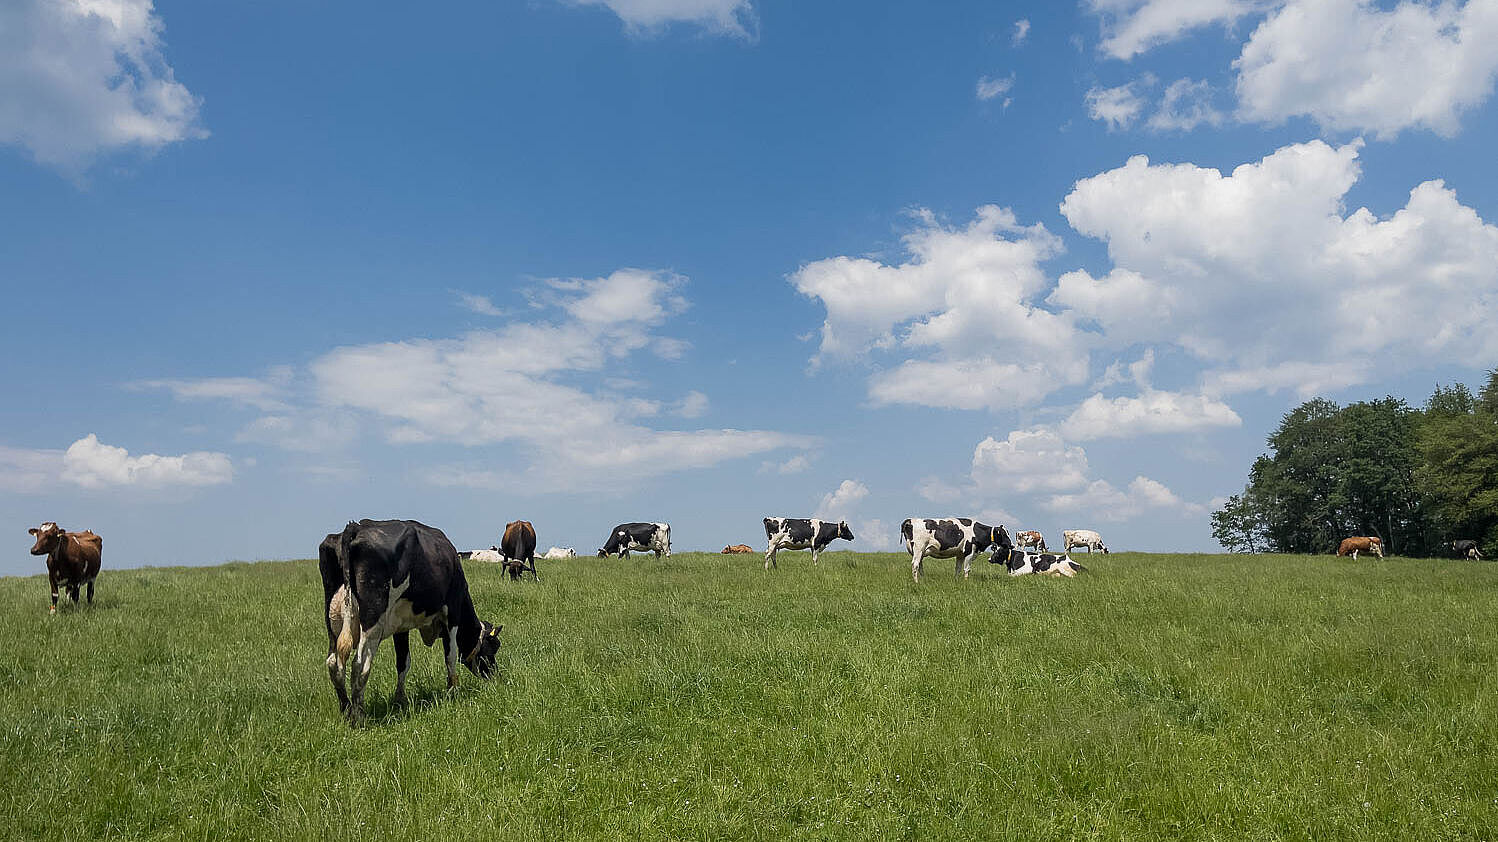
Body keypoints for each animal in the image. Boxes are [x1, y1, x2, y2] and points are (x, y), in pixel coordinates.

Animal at [320, 518, 503, 722]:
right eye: (493, 647)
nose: (495, 677)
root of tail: (355, 527)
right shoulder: (452, 613)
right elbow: (450, 656)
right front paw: (453, 690)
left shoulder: (401, 626)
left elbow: (403, 661)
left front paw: (400, 700)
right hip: (372, 622)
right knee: (359, 665)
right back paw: (358, 716)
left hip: (332, 622)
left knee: (333, 663)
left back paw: (345, 709)